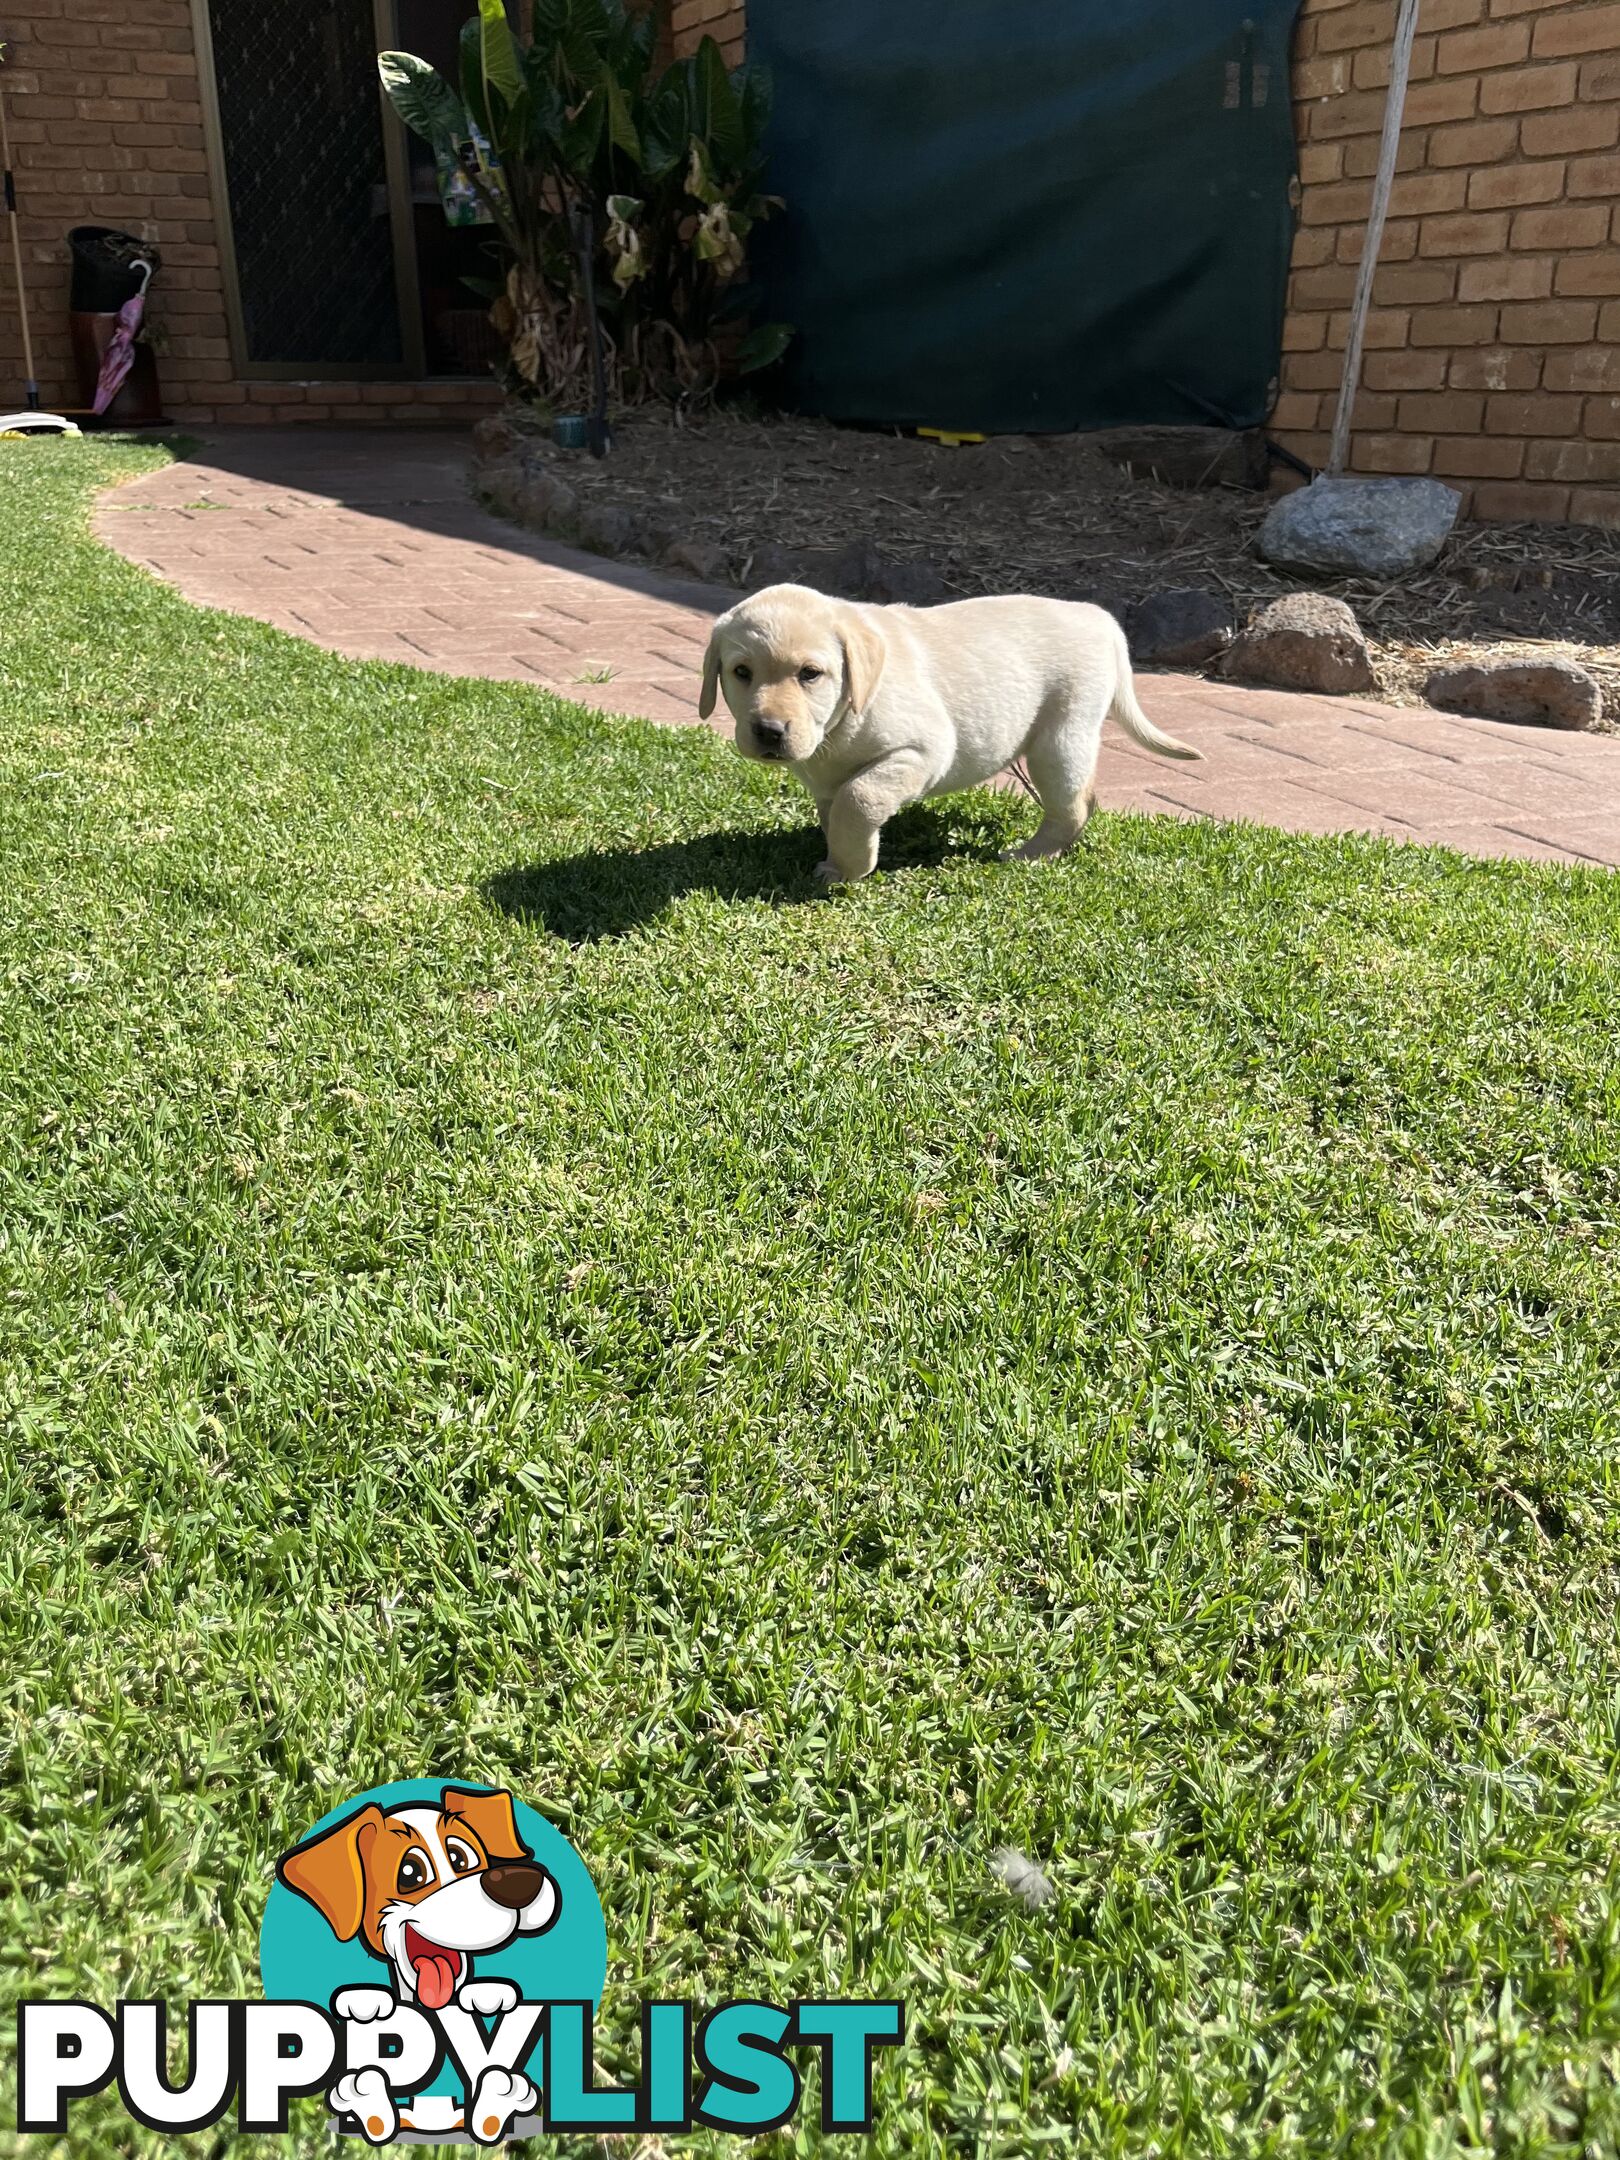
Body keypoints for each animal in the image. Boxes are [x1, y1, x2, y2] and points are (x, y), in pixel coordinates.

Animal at [704, 578, 1200, 881]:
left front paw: (851, 867)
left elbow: (858, 798)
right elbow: (835, 809)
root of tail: (1097, 616)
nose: (769, 731)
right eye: (741, 672)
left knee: (1072, 807)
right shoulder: (826, 782)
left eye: (810, 674)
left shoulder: (924, 749)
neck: (838, 723)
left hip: (1061, 735)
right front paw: (840, 858)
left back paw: (1028, 855)